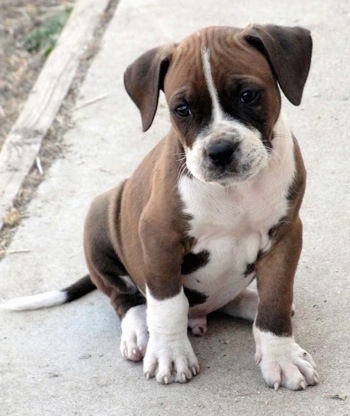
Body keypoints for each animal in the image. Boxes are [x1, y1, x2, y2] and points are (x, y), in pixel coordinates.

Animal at [2, 25, 318, 390]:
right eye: (182, 109)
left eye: (249, 95)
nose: (220, 150)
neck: (233, 192)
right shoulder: (159, 237)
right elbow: (167, 302)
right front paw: (169, 352)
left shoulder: (285, 235)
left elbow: (276, 297)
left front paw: (281, 356)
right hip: (99, 216)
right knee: (126, 297)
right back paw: (140, 332)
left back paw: (248, 301)